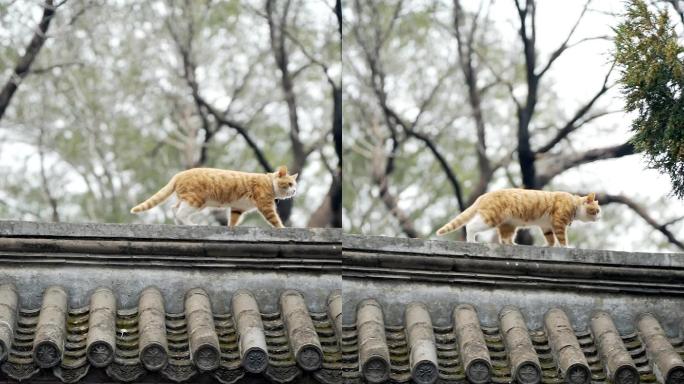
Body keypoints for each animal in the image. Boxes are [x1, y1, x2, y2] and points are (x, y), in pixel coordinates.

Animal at [131, 166, 296, 226]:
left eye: (295, 184)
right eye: (289, 184)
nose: (294, 191)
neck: (269, 182)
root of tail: (179, 174)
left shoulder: (237, 208)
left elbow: (232, 221)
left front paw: (230, 228)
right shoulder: (265, 205)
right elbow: (275, 220)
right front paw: (282, 228)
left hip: (190, 200)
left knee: (174, 209)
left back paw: (181, 224)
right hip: (196, 200)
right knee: (180, 212)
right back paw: (190, 224)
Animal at [436, 188, 600, 246]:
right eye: (597, 211)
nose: (599, 218)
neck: (574, 203)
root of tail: (484, 195)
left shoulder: (546, 225)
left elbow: (550, 239)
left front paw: (548, 246)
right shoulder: (558, 222)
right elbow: (561, 239)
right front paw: (565, 247)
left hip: (508, 224)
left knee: (505, 238)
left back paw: (513, 244)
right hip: (490, 217)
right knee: (470, 226)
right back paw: (471, 241)